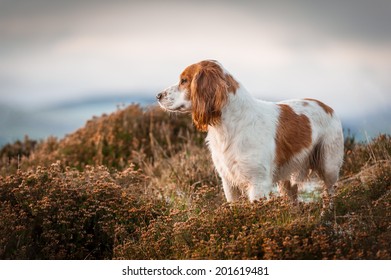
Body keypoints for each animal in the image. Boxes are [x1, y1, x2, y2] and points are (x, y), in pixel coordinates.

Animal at [158, 60, 344, 209]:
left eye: (184, 80)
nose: (158, 95)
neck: (228, 126)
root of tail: (328, 107)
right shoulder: (229, 183)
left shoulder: (258, 184)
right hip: (287, 180)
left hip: (329, 166)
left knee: (329, 194)